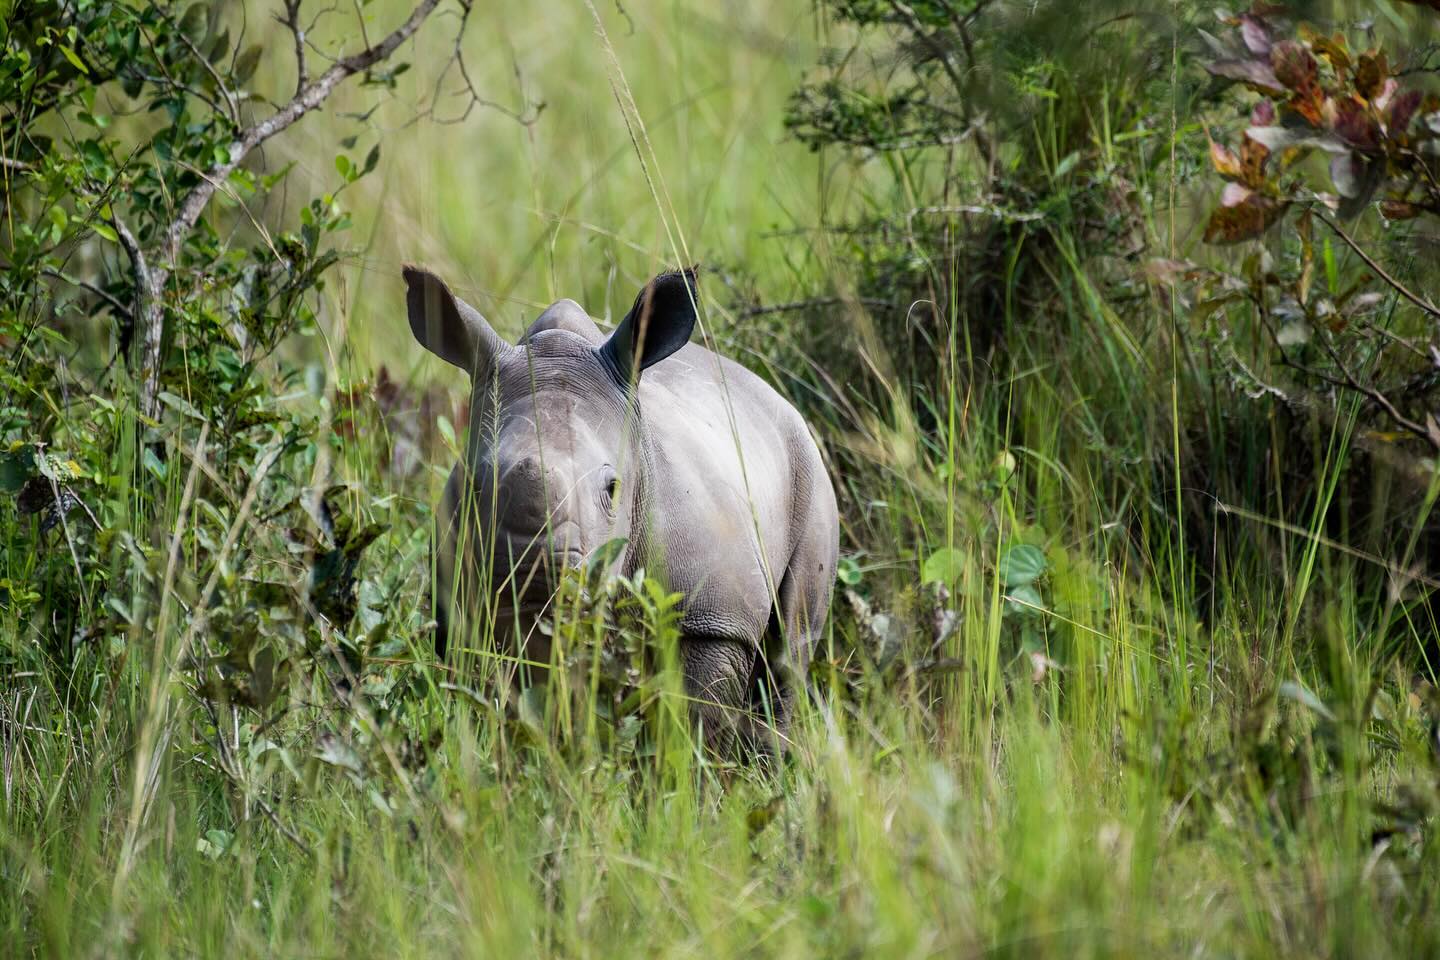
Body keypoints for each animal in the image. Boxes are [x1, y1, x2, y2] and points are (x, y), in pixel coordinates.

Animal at [400, 264, 840, 759]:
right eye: (476, 484)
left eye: (612, 489)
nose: (533, 567)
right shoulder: (464, 606)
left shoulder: (713, 618)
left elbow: (697, 722)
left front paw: (692, 778)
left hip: (807, 468)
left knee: (788, 655)